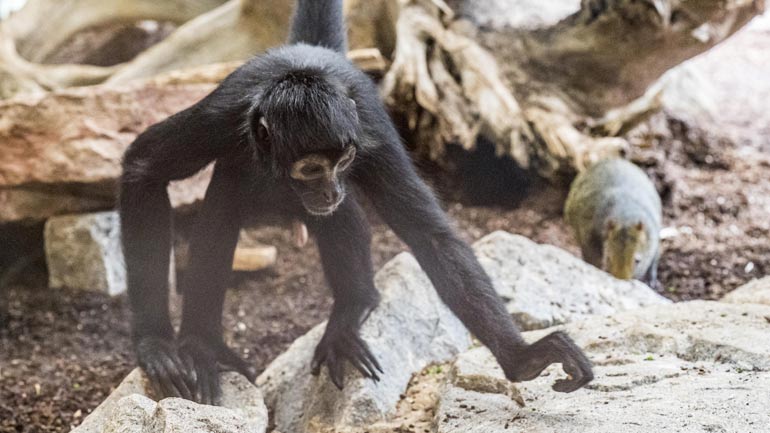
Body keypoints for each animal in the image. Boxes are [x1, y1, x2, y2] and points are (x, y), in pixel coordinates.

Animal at [117, 0, 592, 404]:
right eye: (311, 169)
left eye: (343, 159)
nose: (329, 188)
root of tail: (306, 53)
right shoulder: (221, 118)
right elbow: (143, 168)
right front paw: (156, 343)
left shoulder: (369, 127)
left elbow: (429, 236)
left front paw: (522, 358)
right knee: (225, 200)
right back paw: (204, 345)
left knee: (332, 214)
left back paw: (352, 307)